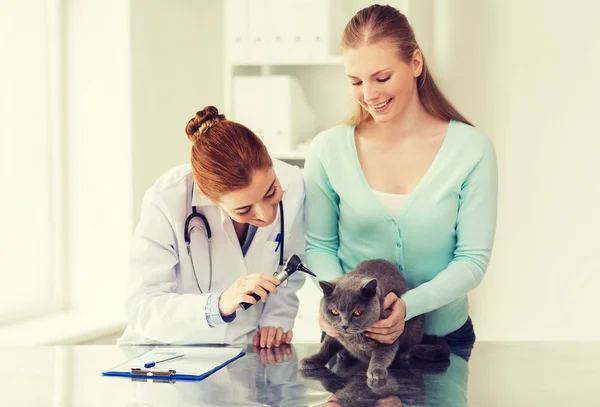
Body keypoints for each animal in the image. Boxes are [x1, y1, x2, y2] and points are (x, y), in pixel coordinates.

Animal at [300, 260, 450, 384]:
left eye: (357, 312)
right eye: (335, 312)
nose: (344, 325)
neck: (355, 338)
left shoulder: (389, 336)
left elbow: (382, 355)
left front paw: (376, 371)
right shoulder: (333, 333)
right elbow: (325, 348)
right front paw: (312, 360)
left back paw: (405, 354)